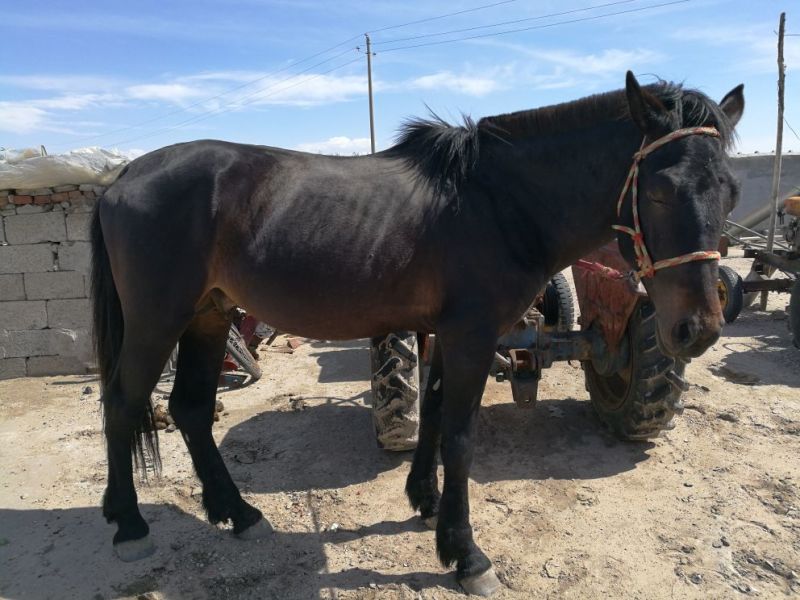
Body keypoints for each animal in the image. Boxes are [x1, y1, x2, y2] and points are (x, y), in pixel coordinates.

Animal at [91, 71, 743, 596]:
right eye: (658, 189)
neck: (497, 203)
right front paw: (467, 554)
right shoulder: (473, 335)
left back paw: (237, 512)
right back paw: (130, 525)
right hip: (158, 319)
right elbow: (459, 435)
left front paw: (426, 504)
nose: (697, 328)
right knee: (123, 402)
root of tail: (123, 176)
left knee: (191, 408)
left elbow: (431, 414)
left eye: (731, 191)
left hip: (209, 314)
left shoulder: (449, 333)